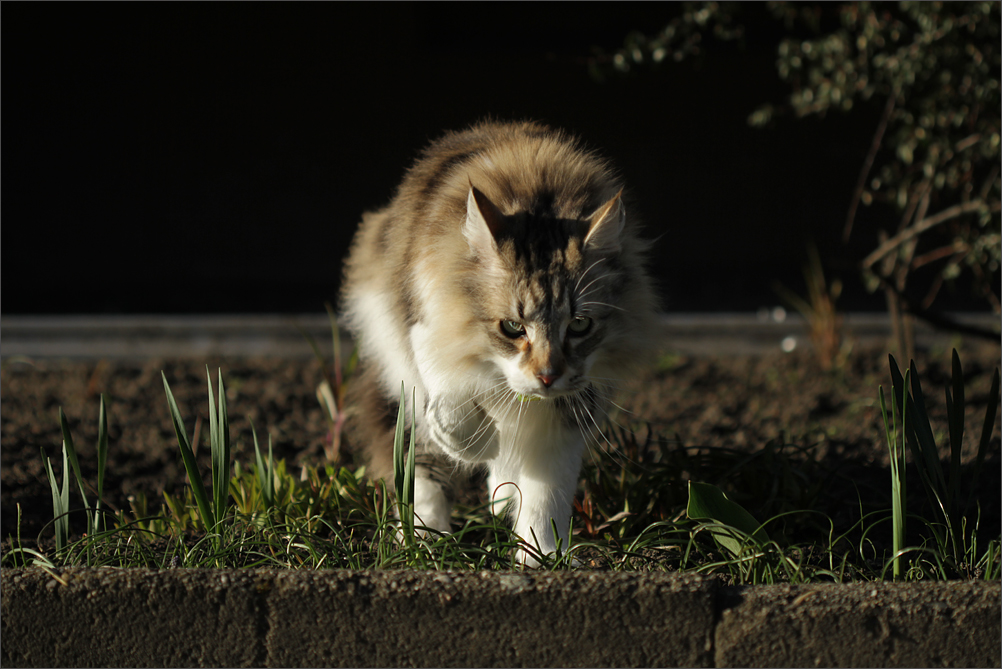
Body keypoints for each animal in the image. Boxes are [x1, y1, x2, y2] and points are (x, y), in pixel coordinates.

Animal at [340, 118, 661, 564]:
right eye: (512, 327)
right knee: (421, 468)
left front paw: (543, 556)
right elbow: (451, 404)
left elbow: (547, 493)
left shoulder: (572, 408)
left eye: (580, 325)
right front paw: (481, 445)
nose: (548, 377)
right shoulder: (425, 327)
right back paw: (427, 542)